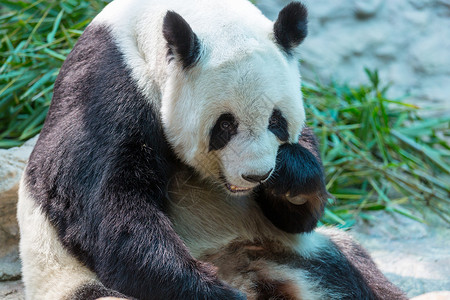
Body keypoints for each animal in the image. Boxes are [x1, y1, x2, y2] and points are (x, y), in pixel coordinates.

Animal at [16, 0, 404, 298]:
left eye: (276, 121)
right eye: (225, 125)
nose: (257, 175)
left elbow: (299, 215)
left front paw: (291, 179)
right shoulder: (107, 88)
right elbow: (108, 212)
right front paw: (213, 293)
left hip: (289, 253)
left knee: (346, 267)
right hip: (71, 280)